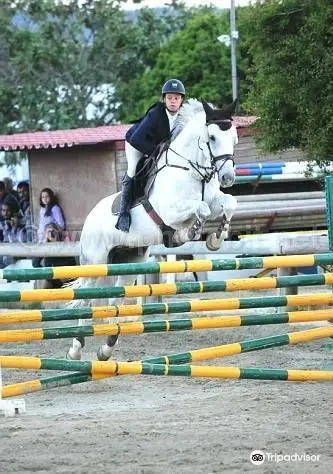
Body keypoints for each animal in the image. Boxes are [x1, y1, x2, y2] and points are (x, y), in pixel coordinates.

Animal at [66, 99, 237, 360]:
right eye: (213, 137)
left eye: (234, 138)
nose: (228, 177)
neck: (191, 170)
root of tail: (89, 218)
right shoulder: (171, 211)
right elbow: (202, 209)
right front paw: (190, 231)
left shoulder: (215, 199)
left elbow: (228, 203)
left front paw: (217, 237)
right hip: (95, 262)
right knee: (86, 299)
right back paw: (75, 350)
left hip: (128, 261)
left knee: (113, 300)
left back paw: (106, 348)